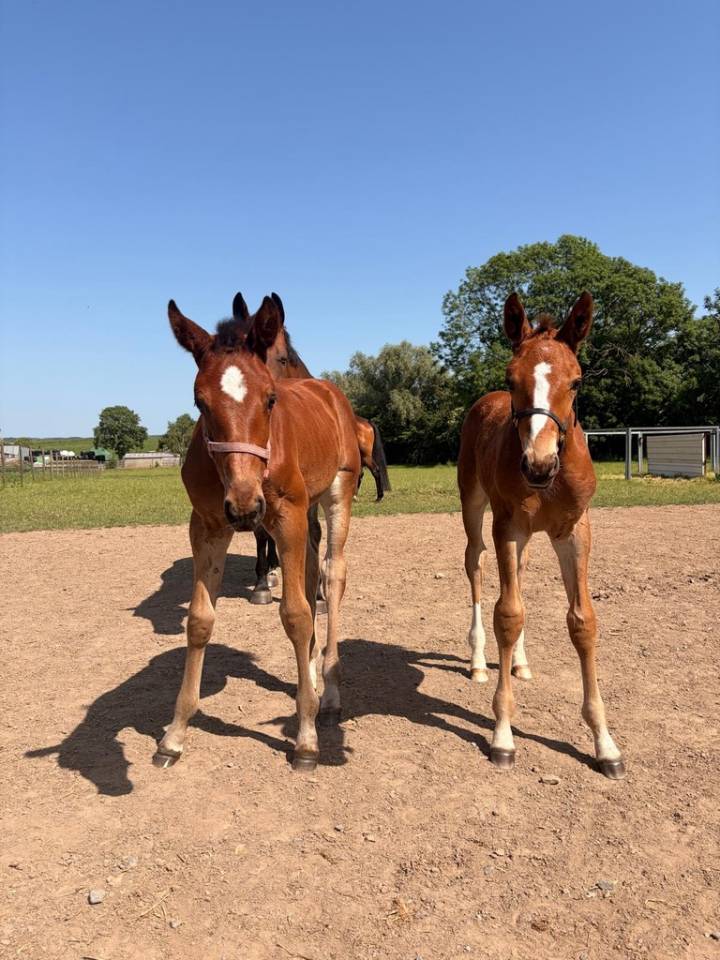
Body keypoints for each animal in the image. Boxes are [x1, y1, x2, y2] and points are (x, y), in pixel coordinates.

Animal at [154, 295, 361, 771]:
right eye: (199, 402)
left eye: (269, 399)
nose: (246, 505)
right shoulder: (208, 525)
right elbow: (200, 620)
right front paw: (175, 733)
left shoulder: (285, 515)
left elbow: (297, 615)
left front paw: (305, 738)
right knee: (310, 571)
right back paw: (311, 676)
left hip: (336, 495)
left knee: (332, 577)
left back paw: (329, 693)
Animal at [457, 291, 625, 779]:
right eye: (511, 378)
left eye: (577, 382)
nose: (538, 464)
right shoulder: (507, 526)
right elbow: (508, 614)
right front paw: (502, 734)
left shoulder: (574, 530)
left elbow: (583, 622)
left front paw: (605, 743)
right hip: (474, 507)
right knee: (475, 566)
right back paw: (478, 662)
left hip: (531, 537)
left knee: (521, 576)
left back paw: (521, 662)